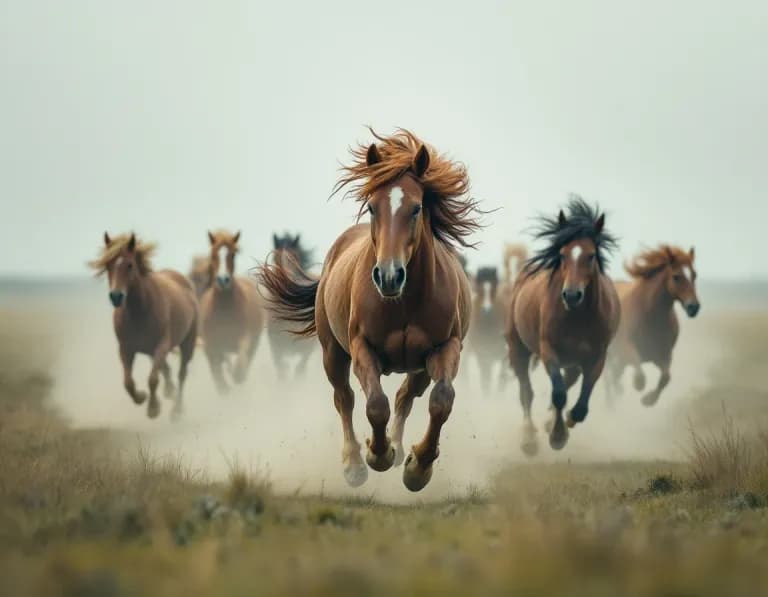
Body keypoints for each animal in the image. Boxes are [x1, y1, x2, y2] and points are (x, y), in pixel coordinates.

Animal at [89, 233, 197, 420]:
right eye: (108, 265)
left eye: (130, 265)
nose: (116, 296)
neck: (140, 311)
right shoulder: (126, 348)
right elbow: (128, 382)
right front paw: (141, 397)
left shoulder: (161, 345)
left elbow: (153, 379)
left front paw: (153, 409)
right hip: (149, 351)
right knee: (166, 370)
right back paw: (169, 392)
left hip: (187, 344)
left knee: (181, 374)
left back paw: (177, 410)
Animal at [199, 230, 264, 394]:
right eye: (213, 254)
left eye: (233, 254)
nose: (223, 280)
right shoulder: (210, 347)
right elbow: (218, 376)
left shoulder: (244, 337)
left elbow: (240, 364)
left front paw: (237, 376)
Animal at [266, 233, 317, 379]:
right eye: (275, 257)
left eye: (295, 256)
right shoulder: (276, 348)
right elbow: (282, 369)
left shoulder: (306, 350)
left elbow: (299, 369)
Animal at [504, 196, 620, 455]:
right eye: (563, 254)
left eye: (591, 255)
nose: (572, 295)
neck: (578, 317)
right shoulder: (549, 350)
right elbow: (558, 394)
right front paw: (557, 436)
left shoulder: (597, 356)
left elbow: (581, 404)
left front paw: (565, 422)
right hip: (518, 348)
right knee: (526, 391)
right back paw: (529, 438)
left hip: (573, 361)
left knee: (568, 382)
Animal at [606, 245, 700, 406]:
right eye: (676, 276)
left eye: (694, 274)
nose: (693, 307)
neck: (650, 316)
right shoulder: (626, 348)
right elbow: (640, 375)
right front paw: (638, 386)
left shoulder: (663, 354)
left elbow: (666, 378)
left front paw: (648, 399)